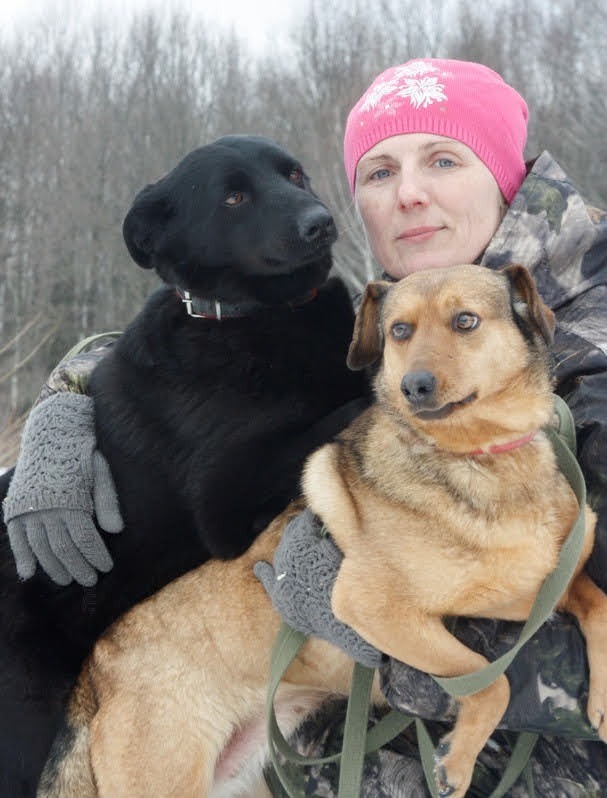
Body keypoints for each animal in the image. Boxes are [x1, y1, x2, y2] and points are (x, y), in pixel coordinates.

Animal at [0, 134, 370, 796]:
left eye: (294, 175)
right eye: (233, 196)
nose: (321, 222)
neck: (252, 317)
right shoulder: (226, 498)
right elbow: (344, 411)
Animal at [40, 264, 604, 798]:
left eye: (465, 320)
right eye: (399, 330)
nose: (415, 386)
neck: (475, 458)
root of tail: (95, 672)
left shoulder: (537, 588)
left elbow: (595, 601)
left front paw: (599, 700)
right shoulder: (376, 610)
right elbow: (492, 683)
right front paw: (457, 760)